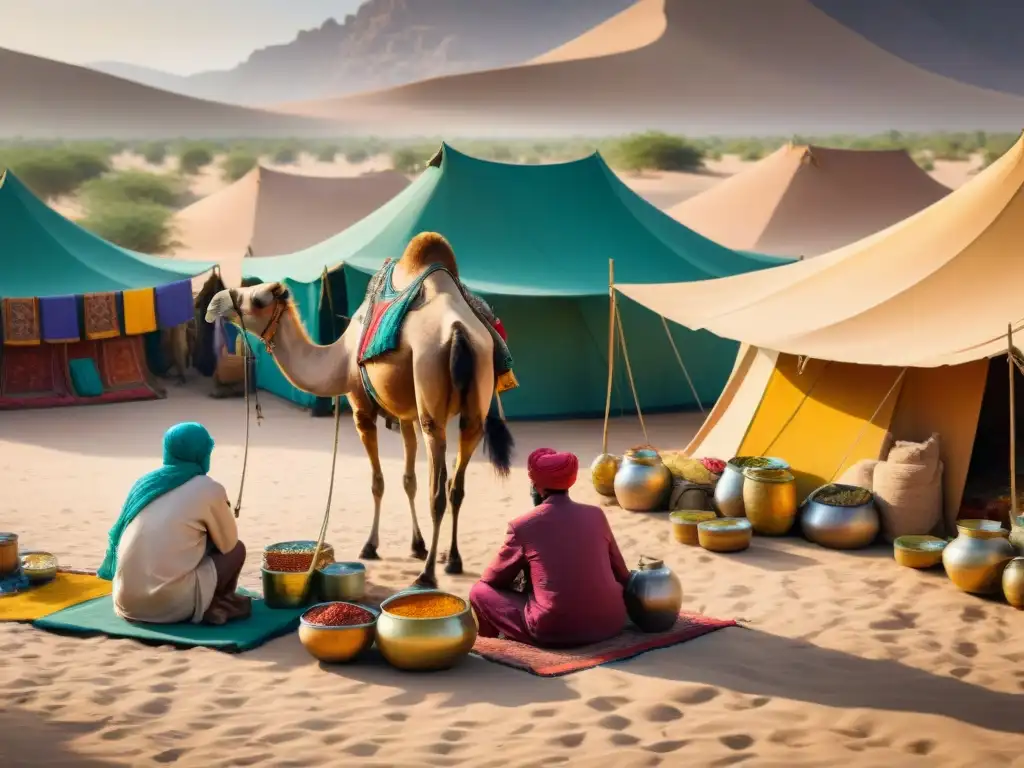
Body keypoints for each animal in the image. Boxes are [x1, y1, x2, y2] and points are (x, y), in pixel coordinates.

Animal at [204, 231, 516, 585]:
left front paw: (371, 545)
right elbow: (408, 479)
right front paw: (417, 545)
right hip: (474, 402)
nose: (215, 303)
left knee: (437, 490)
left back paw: (427, 575)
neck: (341, 357)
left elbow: (378, 482)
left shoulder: (361, 410)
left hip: (430, 393)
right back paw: (452, 560)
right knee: (455, 485)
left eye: (257, 299)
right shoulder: (405, 413)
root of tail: (458, 331)